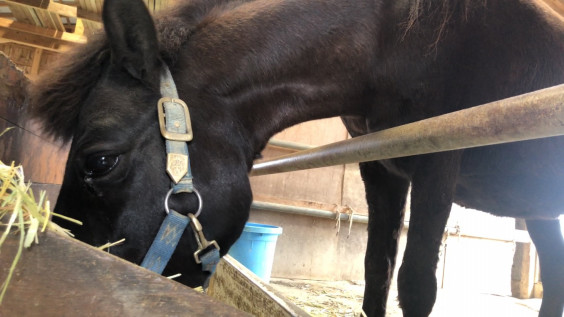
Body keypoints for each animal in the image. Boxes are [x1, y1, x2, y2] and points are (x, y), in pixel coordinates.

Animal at [29, 0, 564, 314]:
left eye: (99, 162)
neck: (400, 39)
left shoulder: (439, 161)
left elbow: (415, 285)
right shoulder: (382, 167)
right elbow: (376, 274)